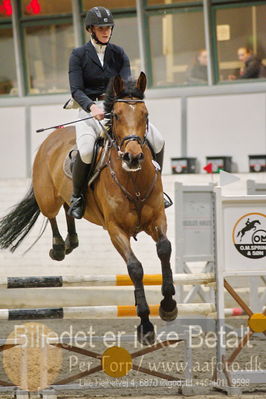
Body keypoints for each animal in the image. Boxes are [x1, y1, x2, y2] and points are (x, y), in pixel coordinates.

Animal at [0, 71, 177, 344]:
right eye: (116, 115)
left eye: (145, 114)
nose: (133, 157)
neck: (133, 179)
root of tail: (53, 136)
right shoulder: (116, 230)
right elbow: (135, 269)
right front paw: (146, 325)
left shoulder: (157, 219)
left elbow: (165, 250)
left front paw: (168, 306)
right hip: (47, 196)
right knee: (52, 214)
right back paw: (59, 247)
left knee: (68, 209)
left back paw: (72, 238)